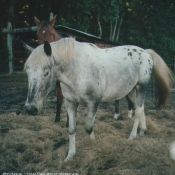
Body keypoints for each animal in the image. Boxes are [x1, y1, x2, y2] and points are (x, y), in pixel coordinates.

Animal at [24, 38, 172, 161]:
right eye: (27, 71)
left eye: (46, 72)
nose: (31, 108)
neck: (78, 70)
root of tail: (146, 52)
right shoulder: (70, 103)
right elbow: (72, 129)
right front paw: (70, 156)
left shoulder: (93, 102)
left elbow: (89, 127)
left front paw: (93, 145)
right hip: (130, 91)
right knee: (140, 109)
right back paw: (143, 131)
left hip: (141, 87)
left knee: (138, 111)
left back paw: (132, 136)